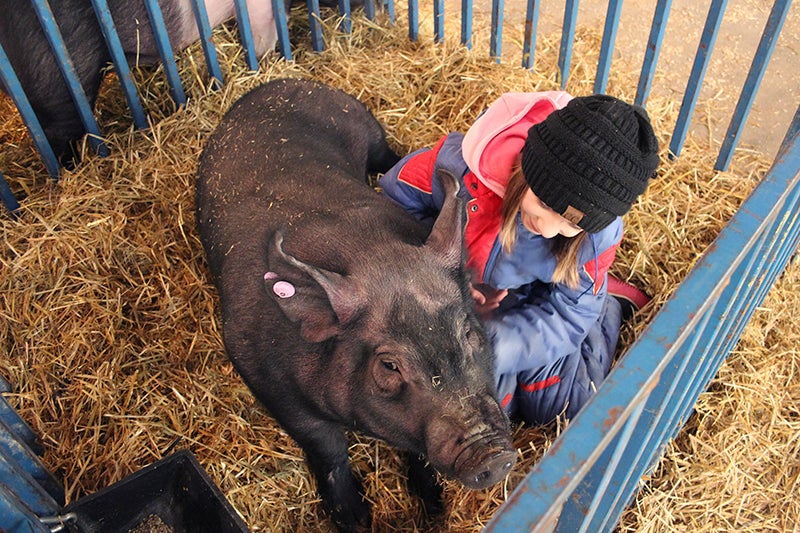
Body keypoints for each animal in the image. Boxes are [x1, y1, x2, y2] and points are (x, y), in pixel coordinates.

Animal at [197, 77, 516, 528]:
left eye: (470, 333)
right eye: (389, 365)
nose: (493, 454)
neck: (365, 249)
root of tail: (279, 81)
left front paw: (433, 510)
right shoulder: (270, 384)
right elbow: (328, 451)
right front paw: (355, 519)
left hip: (367, 128)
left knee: (390, 156)